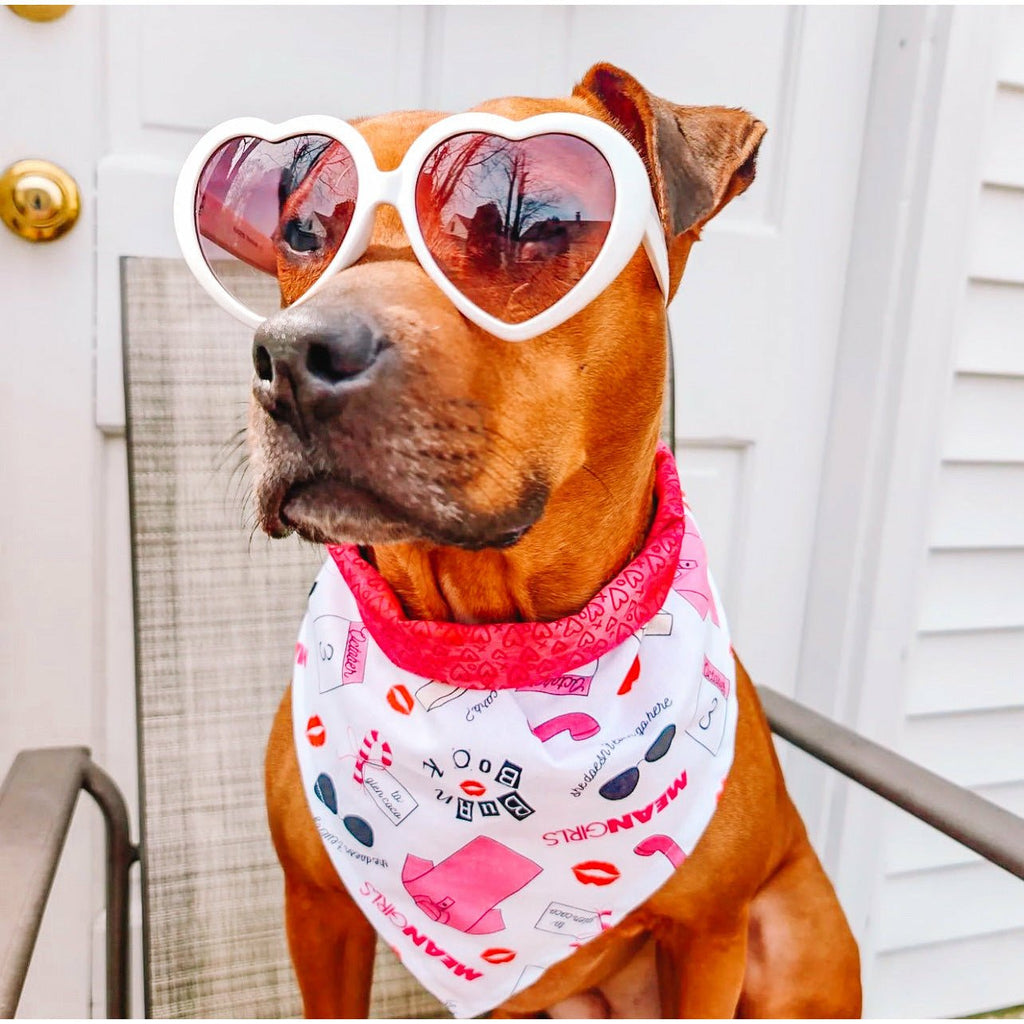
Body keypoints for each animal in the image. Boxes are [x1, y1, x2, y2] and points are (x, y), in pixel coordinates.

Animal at [256, 68, 864, 1019]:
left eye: (526, 220)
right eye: (304, 230)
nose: (289, 357)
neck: (494, 645)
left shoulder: (710, 937)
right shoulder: (318, 911)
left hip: (787, 946)